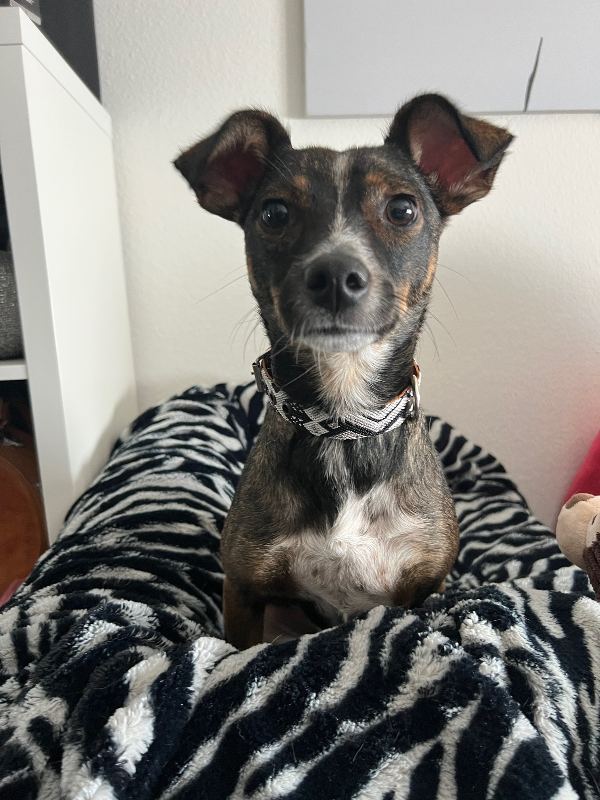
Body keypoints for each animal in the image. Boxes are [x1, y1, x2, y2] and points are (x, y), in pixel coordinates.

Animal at [175, 94, 512, 649]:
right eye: (274, 212)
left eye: (403, 209)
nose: (334, 274)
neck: (345, 424)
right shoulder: (243, 590)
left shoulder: (424, 585)